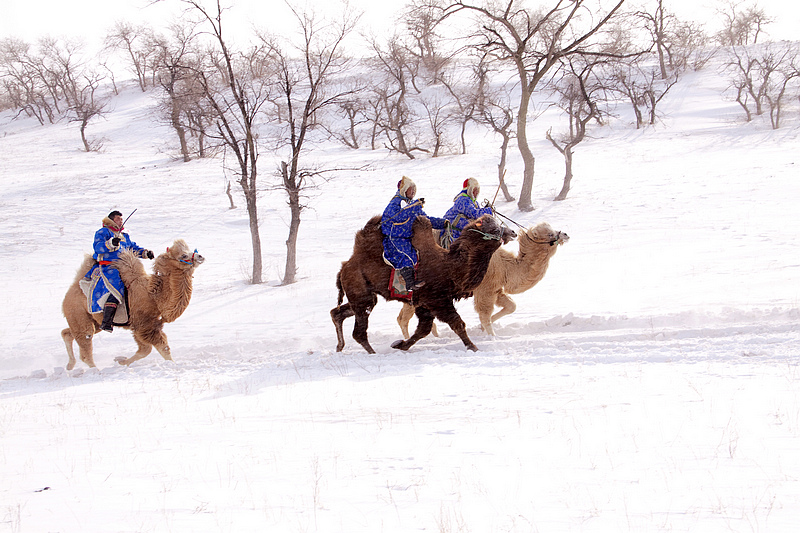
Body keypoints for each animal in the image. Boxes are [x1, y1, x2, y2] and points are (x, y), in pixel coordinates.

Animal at [61, 239, 205, 368]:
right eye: (183, 255)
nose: (200, 256)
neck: (154, 297)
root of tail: (69, 293)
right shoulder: (143, 325)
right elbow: (156, 349)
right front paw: (173, 364)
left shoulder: (149, 324)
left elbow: (148, 349)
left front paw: (120, 360)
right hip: (78, 315)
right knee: (85, 344)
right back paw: (96, 370)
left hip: (94, 321)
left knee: (67, 333)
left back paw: (70, 365)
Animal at [330, 212, 512, 354]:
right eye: (494, 229)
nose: (511, 232)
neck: (450, 268)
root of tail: (344, 267)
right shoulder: (438, 300)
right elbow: (457, 323)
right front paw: (473, 348)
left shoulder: (423, 304)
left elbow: (423, 330)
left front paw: (400, 345)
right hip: (360, 293)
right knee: (358, 331)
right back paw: (372, 353)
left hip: (365, 295)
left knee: (338, 313)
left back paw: (340, 346)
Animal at [396, 220, 564, 336]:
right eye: (549, 233)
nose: (564, 234)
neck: (506, 266)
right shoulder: (485, 290)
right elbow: (485, 315)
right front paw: (492, 337)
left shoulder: (496, 289)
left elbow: (511, 306)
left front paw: (481, 329)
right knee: (403, 319)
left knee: (404, 316)